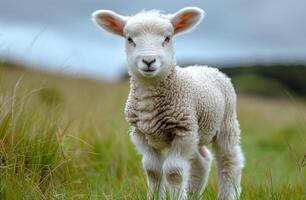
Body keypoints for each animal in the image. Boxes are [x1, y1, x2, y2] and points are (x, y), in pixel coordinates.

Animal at [92, 6, 244, 200]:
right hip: (197, 131)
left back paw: (227, 193)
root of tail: (208, 67)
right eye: (129, 39)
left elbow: (173, 171)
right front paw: (156, 195)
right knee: (202, 160)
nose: (148, 61)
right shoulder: (140, 133)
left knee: (229, 160)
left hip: (226, 123)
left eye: (167, 38)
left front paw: (176, 195)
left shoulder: (183, 132)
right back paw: (193, 193)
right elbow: (153, 169)